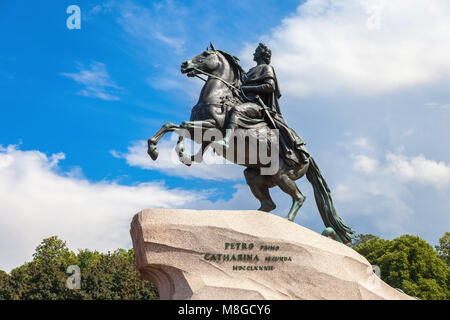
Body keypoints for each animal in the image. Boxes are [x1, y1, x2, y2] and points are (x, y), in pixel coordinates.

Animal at [146, 42, 354, 242]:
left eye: (205, 55)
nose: (184, 64)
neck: (218, 95)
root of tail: (308, 158)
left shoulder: (211, 126)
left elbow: (182, 125)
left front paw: (179, 151)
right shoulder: (201, 133)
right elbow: (171, 125)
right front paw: (157, 150)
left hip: (282, 175)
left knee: (299, 197)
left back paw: (286, 221)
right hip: (255, 175)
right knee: (269, 204)